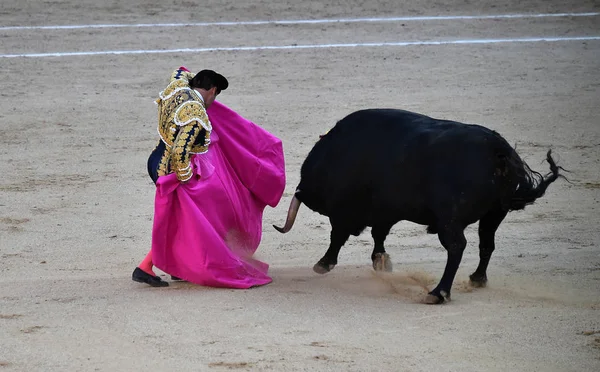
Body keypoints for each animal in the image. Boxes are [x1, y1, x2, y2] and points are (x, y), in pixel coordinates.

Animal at [274, 108, 560, 306]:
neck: (335, 155)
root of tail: (498, 152)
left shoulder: (345, 211)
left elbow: (339, 236)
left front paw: (324, 263)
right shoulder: (385, 211)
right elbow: (378, 234)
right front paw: (381, 262)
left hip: (449, 221)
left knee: (457, 247)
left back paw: (438, 293)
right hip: (495, 213)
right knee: (486, 244)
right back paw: (477, 279)